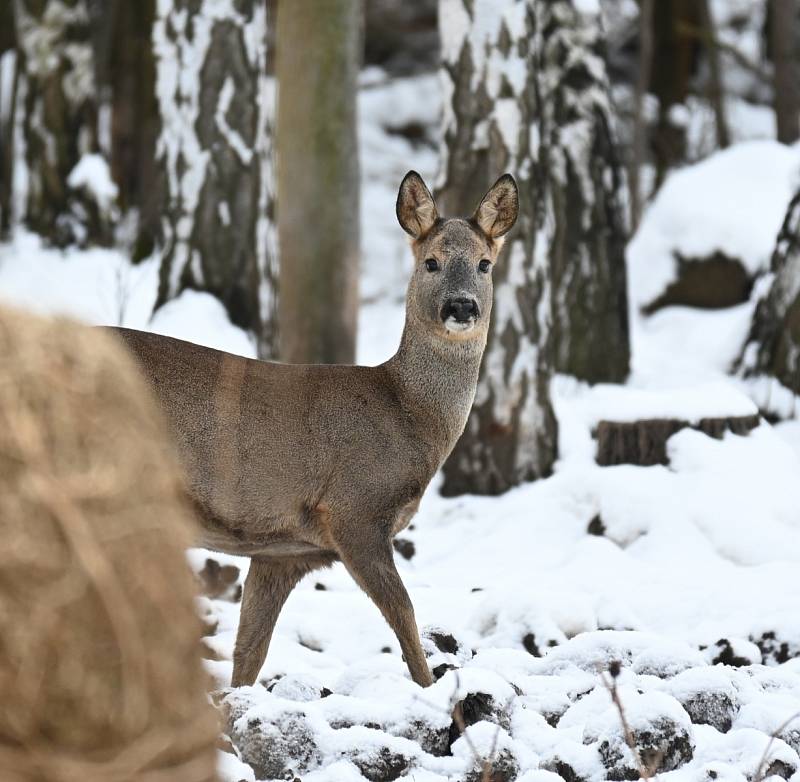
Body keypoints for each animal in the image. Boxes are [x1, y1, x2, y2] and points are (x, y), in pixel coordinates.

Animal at [115, 172, 520, 688]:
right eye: (431, 262)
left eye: (485, 264)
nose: (462, 307)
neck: (406, 412)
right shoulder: (354, 509)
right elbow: (405, 616)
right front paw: (432, 690)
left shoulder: (284, 550)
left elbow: (249, 652)